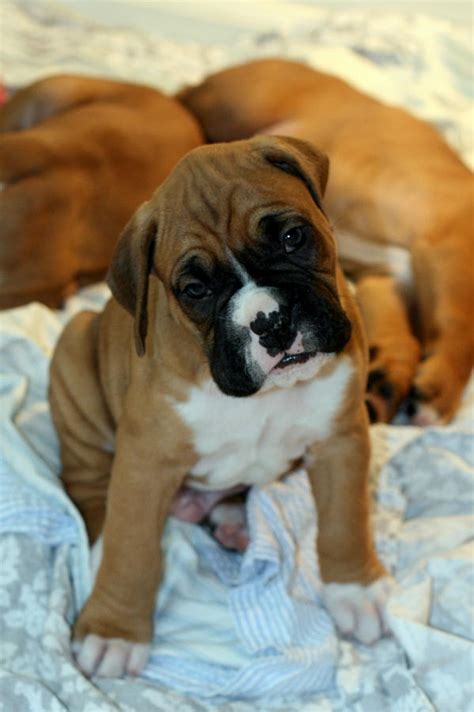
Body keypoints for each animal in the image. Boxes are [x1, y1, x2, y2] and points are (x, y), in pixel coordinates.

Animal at [50, 135, 390, 680]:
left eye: (293, 237)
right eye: (196, 290)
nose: (270, 321)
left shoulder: (341, 439)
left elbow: (345, 520)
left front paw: (354, 591)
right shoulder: (145, 463)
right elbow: (132, 549)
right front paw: (113, 630)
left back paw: (234, 520)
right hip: (74, 357)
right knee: (87, 484)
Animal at [179, 58, 474, 426]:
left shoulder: (397, 273)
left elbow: (421, 331)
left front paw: (396, 381)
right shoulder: (447, 246)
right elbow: (457, 324)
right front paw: (434, 386)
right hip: (238, 104)